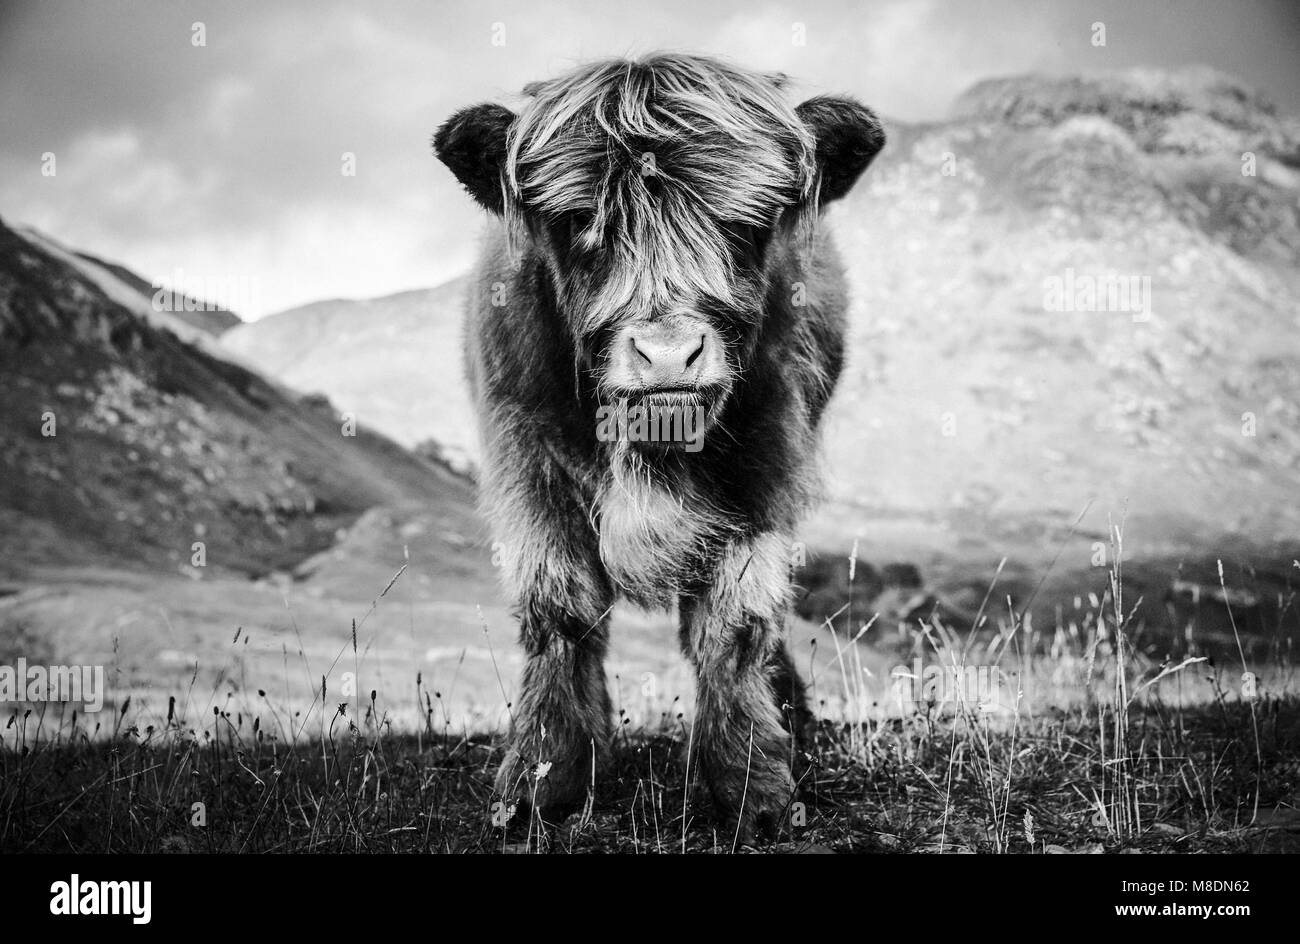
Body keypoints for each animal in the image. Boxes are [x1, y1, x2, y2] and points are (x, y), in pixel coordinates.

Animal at [436, 53, 883, 837]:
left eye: (749, 224)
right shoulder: (527, 461)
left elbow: (735, 624)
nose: (669, 356)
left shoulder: (765, 470)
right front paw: (544, 777)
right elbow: (560, 609)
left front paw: (751, 785)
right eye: (577, 221)